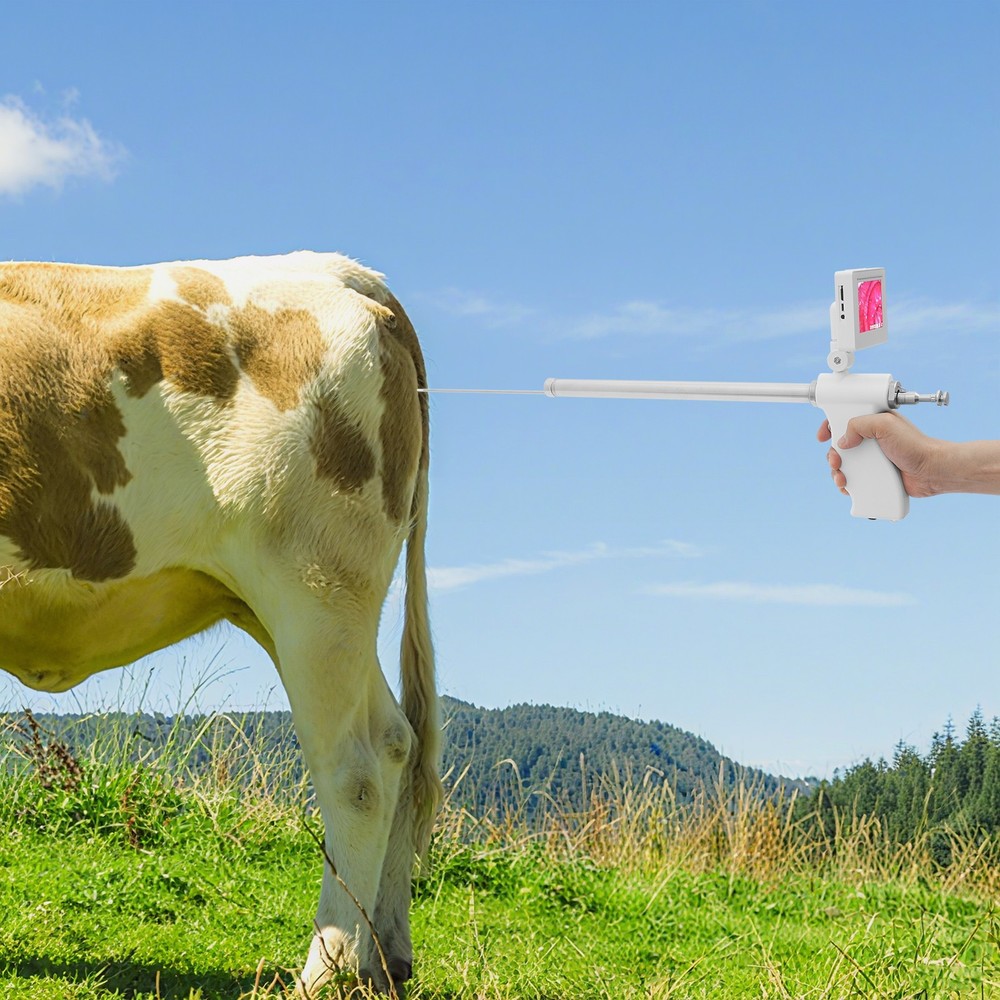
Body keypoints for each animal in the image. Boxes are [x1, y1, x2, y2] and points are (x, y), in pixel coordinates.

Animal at [0, 251, 442, 995]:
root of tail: (343, 272)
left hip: (316, 590)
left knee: (354, 773)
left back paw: (325, 968)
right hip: (307, 608)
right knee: (394, 741)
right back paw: (382, 959)